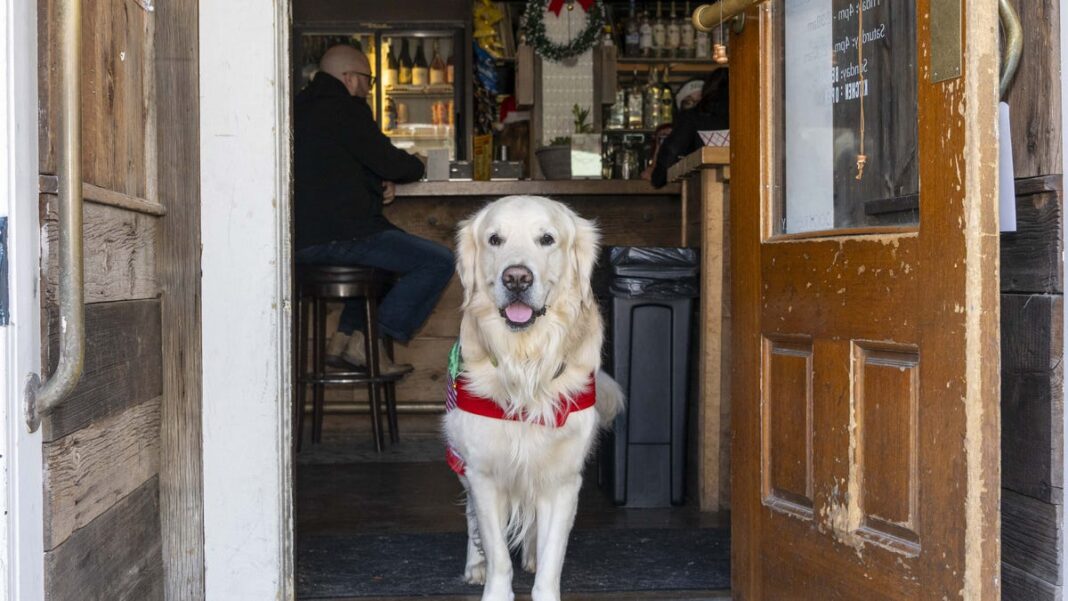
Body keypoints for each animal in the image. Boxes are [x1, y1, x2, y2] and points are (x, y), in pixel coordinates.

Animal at [444, 195, 623, 597]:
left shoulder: (563, 479)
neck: (526, 361)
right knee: (471, 517)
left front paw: (542, 575)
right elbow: (497, 553)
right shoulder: (483, 472)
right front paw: (493, 584)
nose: (517, 278)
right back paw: (475, 563)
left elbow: (552, 556)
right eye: (495, 239)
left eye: (547, 239)